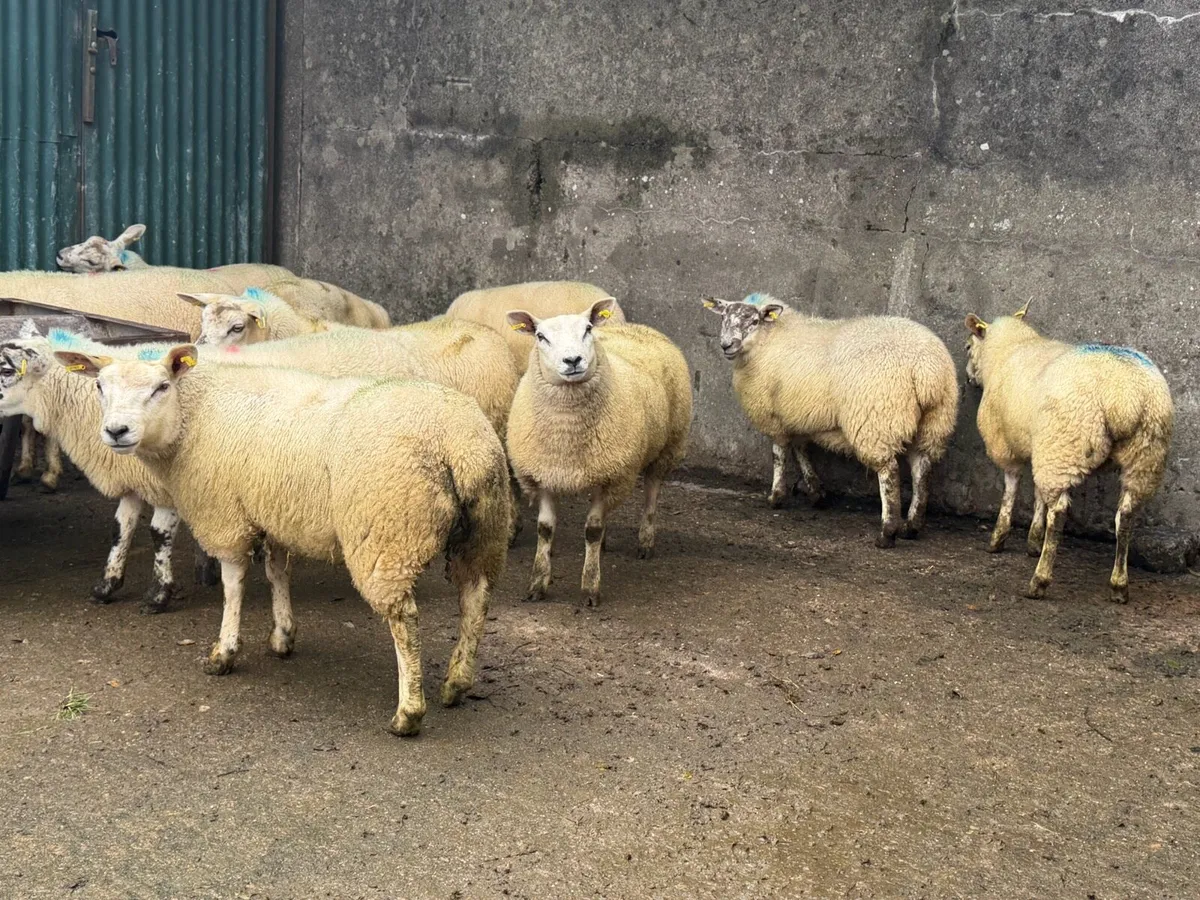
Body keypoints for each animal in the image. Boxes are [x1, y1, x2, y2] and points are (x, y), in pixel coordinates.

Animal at [56, 345, 512, 736]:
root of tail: (458, 443)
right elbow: (277, 572)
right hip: (485, 531)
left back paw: (408, 713)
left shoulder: (225, 515)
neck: (194, 413)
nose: (116, 431)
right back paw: (456, 683)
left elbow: (234, 583)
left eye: (161, 387)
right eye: (99, 387)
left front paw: (224, 652)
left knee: (405, 619)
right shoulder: (273, 511)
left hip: (387, 533)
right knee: (475, 598)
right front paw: (282, 635)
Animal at [505, 298, 692, 606]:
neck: (566, 432)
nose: (572, 360)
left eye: (588, 329)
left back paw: (645, 541)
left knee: (651, 492)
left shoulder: (611, 477)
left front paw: (590, 587)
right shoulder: (545, 475)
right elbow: (545, 529)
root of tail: (636, 327)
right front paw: (537, 584)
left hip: (666, 446)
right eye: (540, 336)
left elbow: (591, 530)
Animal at [702, 293, 960, 548]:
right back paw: (911, 526)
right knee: (922, 469)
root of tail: (927, 370)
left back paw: (887, 532)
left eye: (754, 321)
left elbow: (780, 453)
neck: (770, 339)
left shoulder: (775, 417)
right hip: (934, 423)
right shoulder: (799, 416)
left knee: (889, 472)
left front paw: (776, 496)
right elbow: (801, 450)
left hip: (877, 420)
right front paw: (816, 492)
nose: (726, 345)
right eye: (723, 318)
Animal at [964, 302, 1174, 602]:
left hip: (1065, 444)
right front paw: (1033, 540)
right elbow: (1038, 494)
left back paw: (1040, 580)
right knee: (1126, 515)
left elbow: (1012, 488)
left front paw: (999, 538)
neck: (1012, 348)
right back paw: (1119, 585)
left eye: (968, 347)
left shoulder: (1007, 445)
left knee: (1060, 512)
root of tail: (1125, 397)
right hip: (1145, 453)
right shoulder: (1040, 445)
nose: (968, 378)